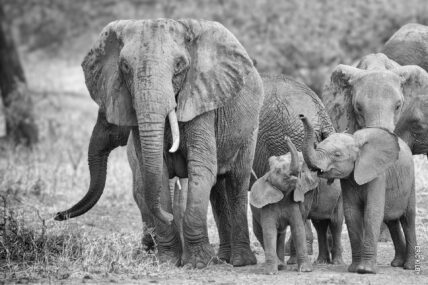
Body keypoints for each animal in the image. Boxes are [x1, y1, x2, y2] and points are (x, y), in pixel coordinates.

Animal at [54, 18, 264, 268]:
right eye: (124, 66)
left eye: (179, 65)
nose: (57, 215)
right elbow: (155, 172)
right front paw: (168, 261)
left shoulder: (201, 101)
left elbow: (201, 169)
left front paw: (197, 263)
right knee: (218, 191)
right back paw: (222, 258)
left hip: (250, 128)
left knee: (237, 182)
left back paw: (241, 261)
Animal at [251, 136, 318, 274]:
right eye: (278, 171)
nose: (286, 137)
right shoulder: (267, 206)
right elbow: (269, 231)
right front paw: (271, 272)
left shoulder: (293, 205)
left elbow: (298, 229)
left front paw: (306, 270)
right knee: (260, 232)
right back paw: (279, 264)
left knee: (280, 235)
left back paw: (281, 265)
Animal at [300, 114, 416, 272]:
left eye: (337, 154)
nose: (301, 115)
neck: (355, 141)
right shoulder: (348, 179)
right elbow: (351, 214)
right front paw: (354, 269)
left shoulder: (378, 175)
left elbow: (372, 212)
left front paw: (365, 271)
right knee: (392, 222)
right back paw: (397, 263)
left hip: (411, 183)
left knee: (408, 220)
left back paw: (409, 266)